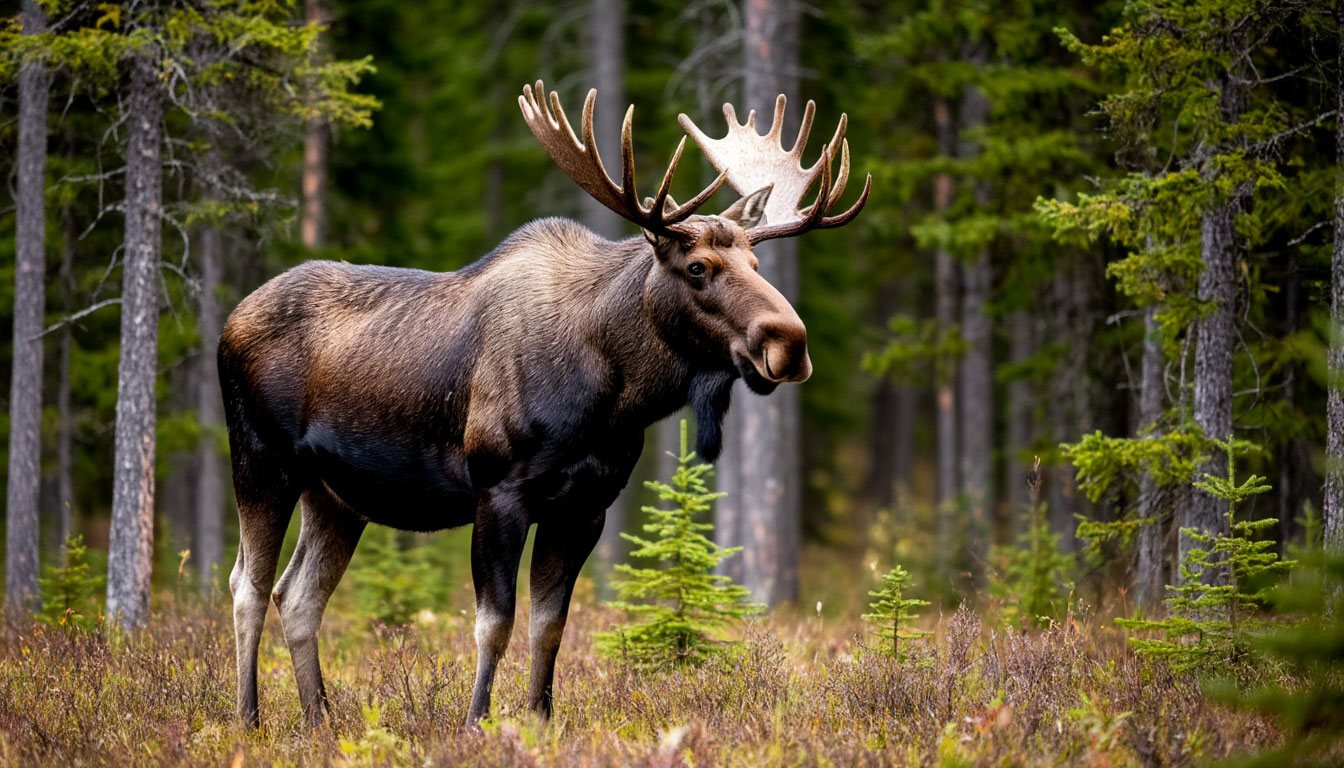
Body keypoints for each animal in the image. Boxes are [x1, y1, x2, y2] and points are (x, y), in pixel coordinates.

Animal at [220, 79, 870, 729]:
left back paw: (319, 719)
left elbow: (549, 627)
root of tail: (230, 321)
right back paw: (249, 718)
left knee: (298, 595)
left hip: (337, 495)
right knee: (247, 586)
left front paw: (539, 720)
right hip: (261, 462)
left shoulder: (585, 506)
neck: (615, 398)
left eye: (756, 264)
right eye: (698, 267)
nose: (790, 342)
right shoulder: (498, 490)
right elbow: (495, 623)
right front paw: (476, 722)